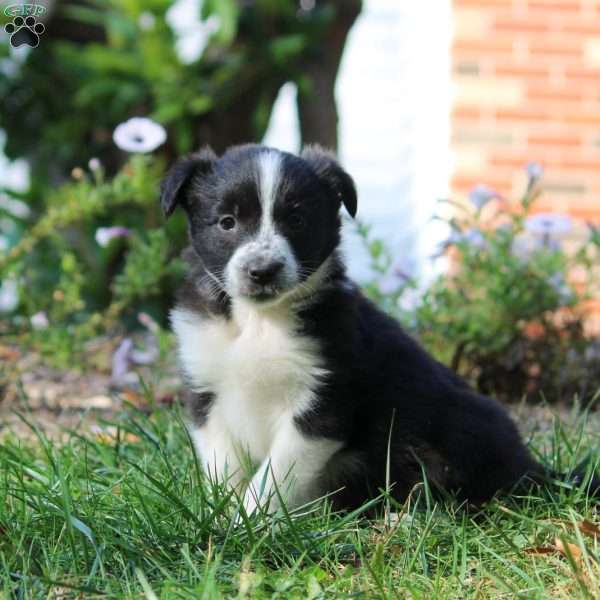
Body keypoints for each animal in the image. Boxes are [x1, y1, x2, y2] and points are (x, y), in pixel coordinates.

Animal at [162, 143, 596, 512]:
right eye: (227, 222)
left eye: (297, 220)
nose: (262, 271)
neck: (258, 321)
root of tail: (534, 469)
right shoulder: (208, 391)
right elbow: (223, 468)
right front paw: (222, 518)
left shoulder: (322, 403)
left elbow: (274, 477)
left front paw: (249, 524)